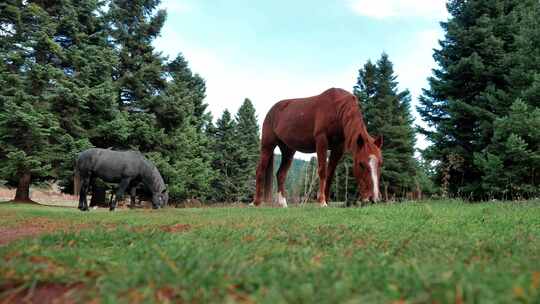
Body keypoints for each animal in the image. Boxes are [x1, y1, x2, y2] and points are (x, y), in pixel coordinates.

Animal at [254, 86, 384, 208]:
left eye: (380, 163)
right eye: (361, 164)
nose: (374, 198)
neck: (337, 109)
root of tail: (272, 110)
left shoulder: (338, 148)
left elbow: (330, 174)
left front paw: (327, 200)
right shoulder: (321, 141)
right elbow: (322, 171)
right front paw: (322, 201)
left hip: (288, 150)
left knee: (281, 174)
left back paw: (283, 203)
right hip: (267, 145)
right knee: (260, 170)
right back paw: (256, 202)